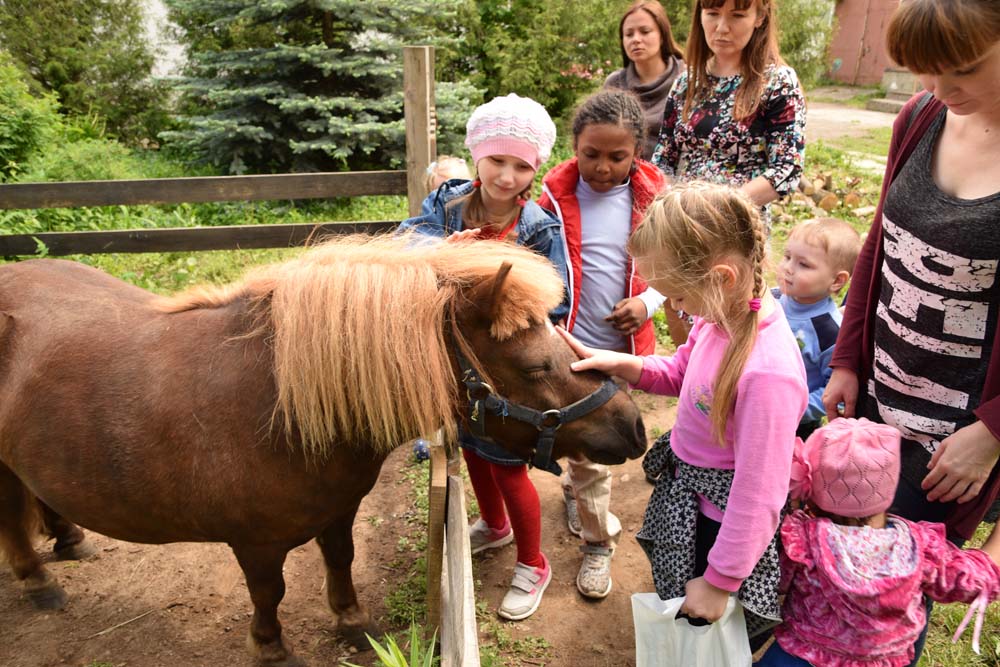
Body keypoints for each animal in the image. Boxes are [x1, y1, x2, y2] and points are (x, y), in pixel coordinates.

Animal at [0, 236, 644, 667]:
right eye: (535, 366)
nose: (634, 428)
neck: (278, 402)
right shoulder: (255, 544)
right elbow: (270, 593)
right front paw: (272, 648)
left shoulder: (337, 510)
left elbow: (340, 559)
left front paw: (352, 623)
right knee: (12, 522)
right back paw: (38, 582)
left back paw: (69, 538)